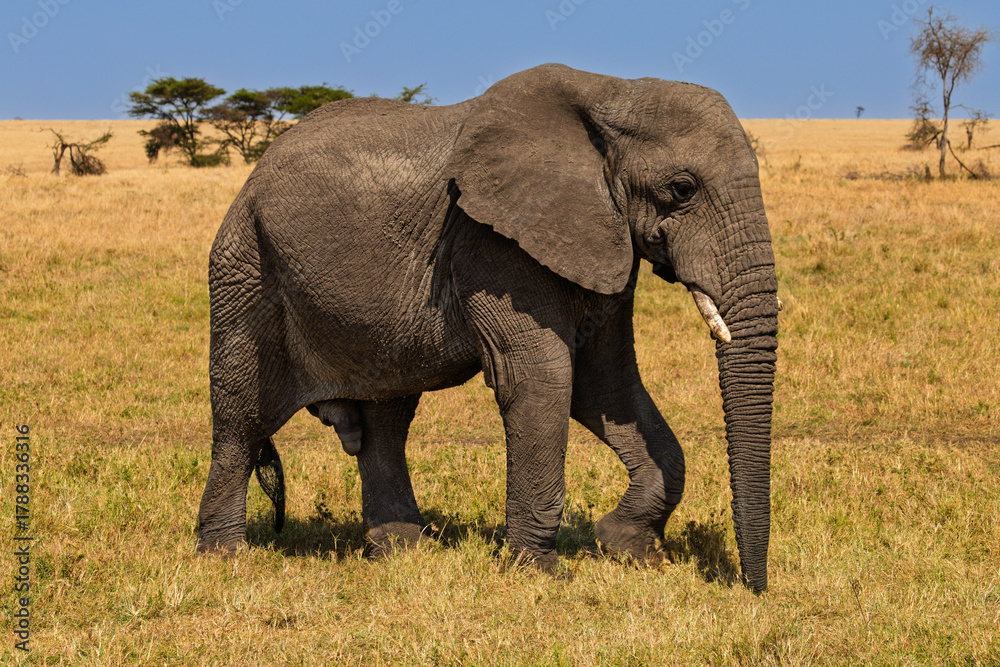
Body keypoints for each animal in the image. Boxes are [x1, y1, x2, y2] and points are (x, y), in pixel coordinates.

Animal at [197, 63, 779, 593]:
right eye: (682, 188)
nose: (752, 589)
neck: (610, 91)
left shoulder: (601, 238)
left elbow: (606, 383)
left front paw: (629, 548)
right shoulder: (492, 243)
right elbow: (542, 379)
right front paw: (540, 576)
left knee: (386, 420)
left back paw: (402, 552)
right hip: (244, 265)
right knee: (241, 417)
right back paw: (223, 558)